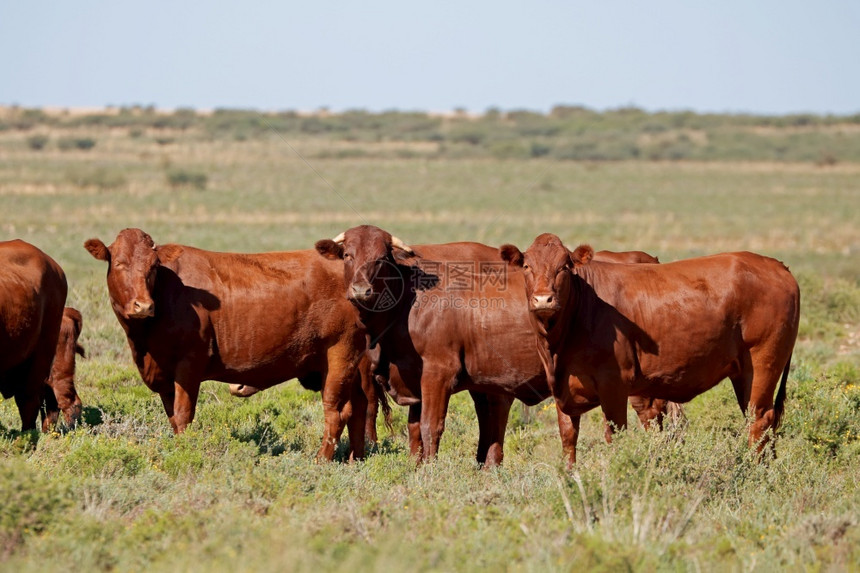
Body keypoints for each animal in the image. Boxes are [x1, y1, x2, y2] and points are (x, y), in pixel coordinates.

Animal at [84, 229, 370, 460]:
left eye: (153, 267)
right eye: (119, 263)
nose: (143, 306)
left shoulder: (189, 366)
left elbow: (183, 414)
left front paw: (185, 452)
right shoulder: (164, 375)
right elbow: (173, 418)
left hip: (340, 356)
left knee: (335, 412)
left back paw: (321, 460)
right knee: (358, 406)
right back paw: (355, 459)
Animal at [316, 223, 672, 464]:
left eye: (381, 259)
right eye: (347, 255)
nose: (361, 291)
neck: (409, 303)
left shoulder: (438, 375)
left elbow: (431, 427)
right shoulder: (414, 379)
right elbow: (415, 432)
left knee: (648, 415)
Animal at [498, 233, 800, 456]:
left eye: (564, 267)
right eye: (527, 266)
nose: (543, 299)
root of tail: (777, 265)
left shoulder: (614, 387)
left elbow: (615, 437)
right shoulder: (562, 391)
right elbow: (568, 440)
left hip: (761, 365)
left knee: (759, 419)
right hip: (743, 373)